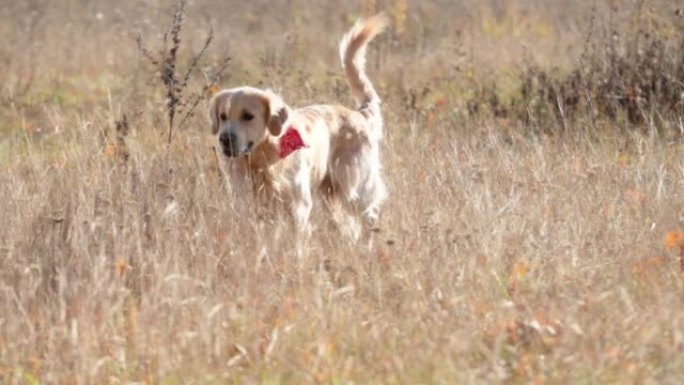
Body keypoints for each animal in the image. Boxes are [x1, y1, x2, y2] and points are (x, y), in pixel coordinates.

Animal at [208, 14, 390, 243]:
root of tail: (359, 114)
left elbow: (296, 239)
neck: (265, 159)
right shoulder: (248, 204)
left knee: (369, 216)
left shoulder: (298, 205)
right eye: (223, 116)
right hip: (330, 195)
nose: (225, 138)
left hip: (355, 185)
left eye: (248, 116)